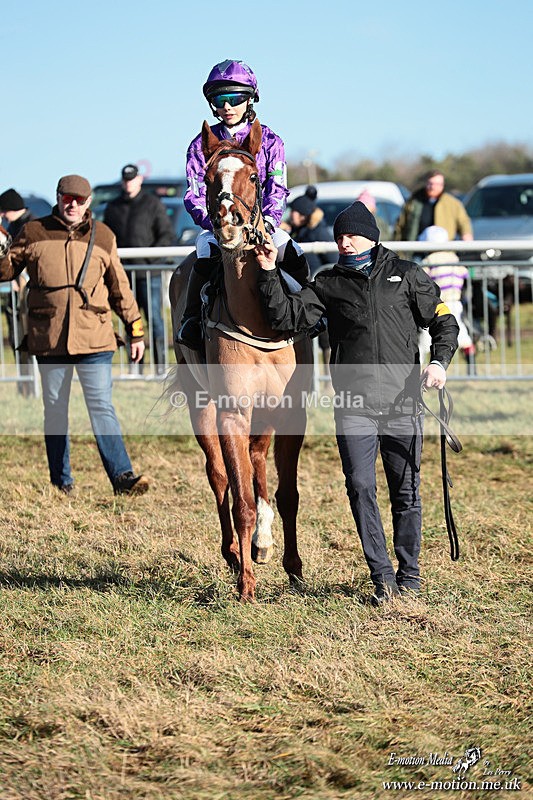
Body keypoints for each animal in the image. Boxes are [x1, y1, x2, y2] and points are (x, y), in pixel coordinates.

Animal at [169, 118, 313, 602]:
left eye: (254, 176)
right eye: (211, 178)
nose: (228, 224)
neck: (258, 320)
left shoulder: (292, 410)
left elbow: (286, 494)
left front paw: (293, 568)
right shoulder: (231, 410)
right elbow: (241, 499)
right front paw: (246, 583)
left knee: (257, 461)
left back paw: (262, 544)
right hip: (200, 402)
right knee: (219, 475)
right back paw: (235, 552)